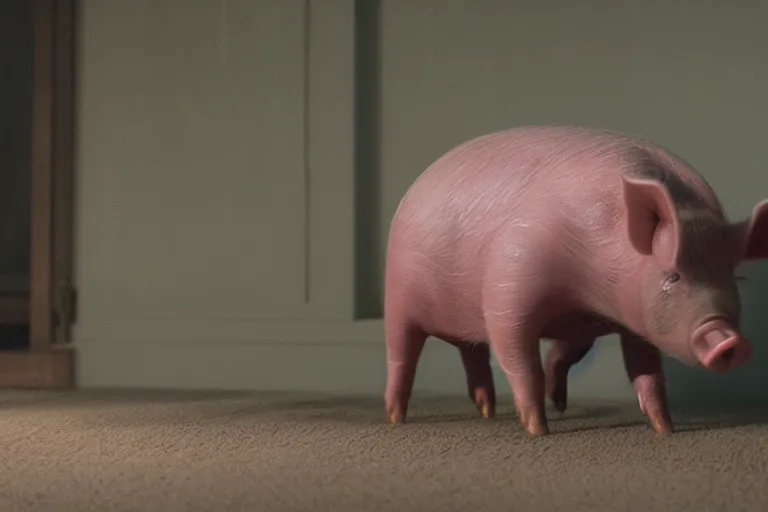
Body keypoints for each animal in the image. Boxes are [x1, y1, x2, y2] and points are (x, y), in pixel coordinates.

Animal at [384, 124, 768, 436]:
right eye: (673, 275)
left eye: (733, 277)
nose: (729, 340)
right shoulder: (510, 280)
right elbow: (520, 361)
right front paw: (539, 431)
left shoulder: (633, 319)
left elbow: (647, 373)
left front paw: (665, 430)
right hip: (398, 298)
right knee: (402, 356)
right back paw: (396, 417)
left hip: (564, 330)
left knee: (496, 355)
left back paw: (495, 411)